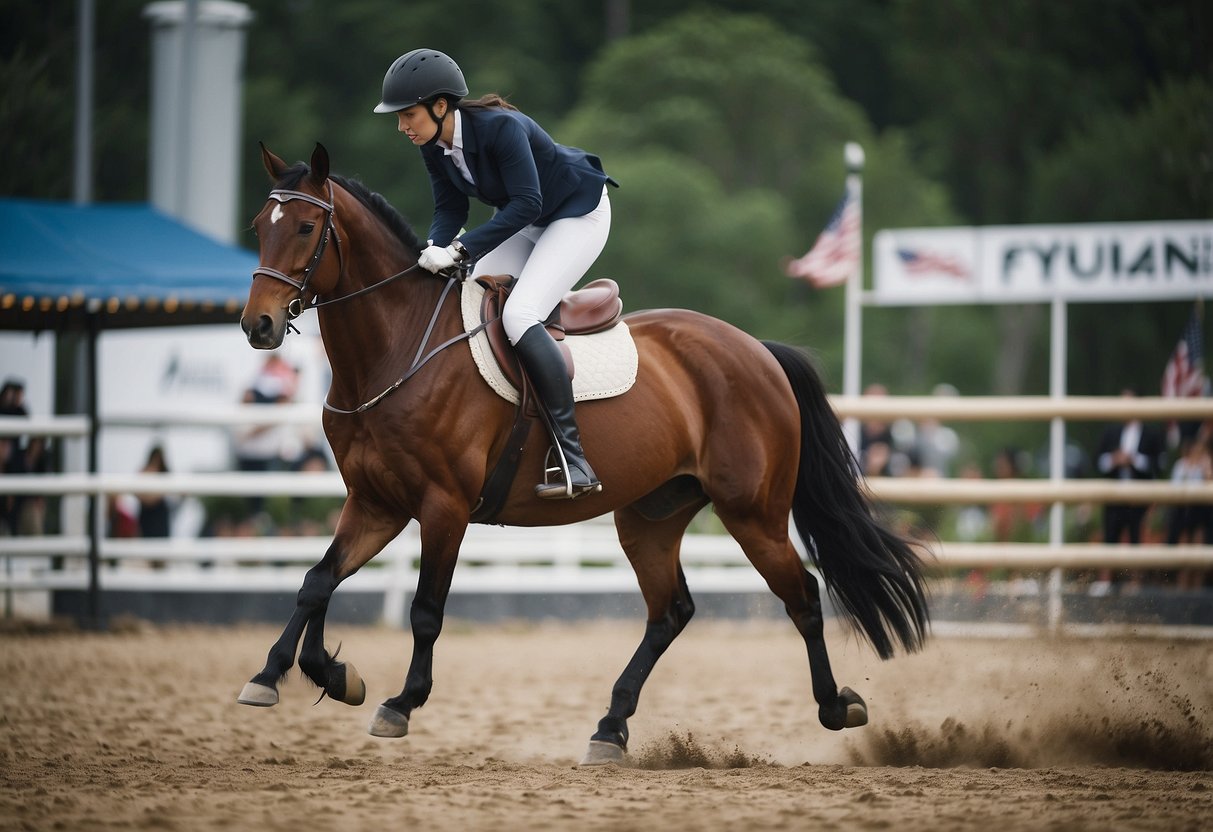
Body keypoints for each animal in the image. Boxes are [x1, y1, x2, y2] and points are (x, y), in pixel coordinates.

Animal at [236, 144, 926, 771]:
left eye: (305, 228)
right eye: (258, 228)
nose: (257, 327)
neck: (397, 347)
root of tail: (756, 348)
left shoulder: (442, 507)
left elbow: (425, 610)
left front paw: (399, 703)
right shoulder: (375, 502)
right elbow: (317, 580)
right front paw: (302, 675)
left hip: (751, 511)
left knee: (802, 596)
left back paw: (835, 706)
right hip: (650, 516)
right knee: (670, 612)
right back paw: (610, 729)